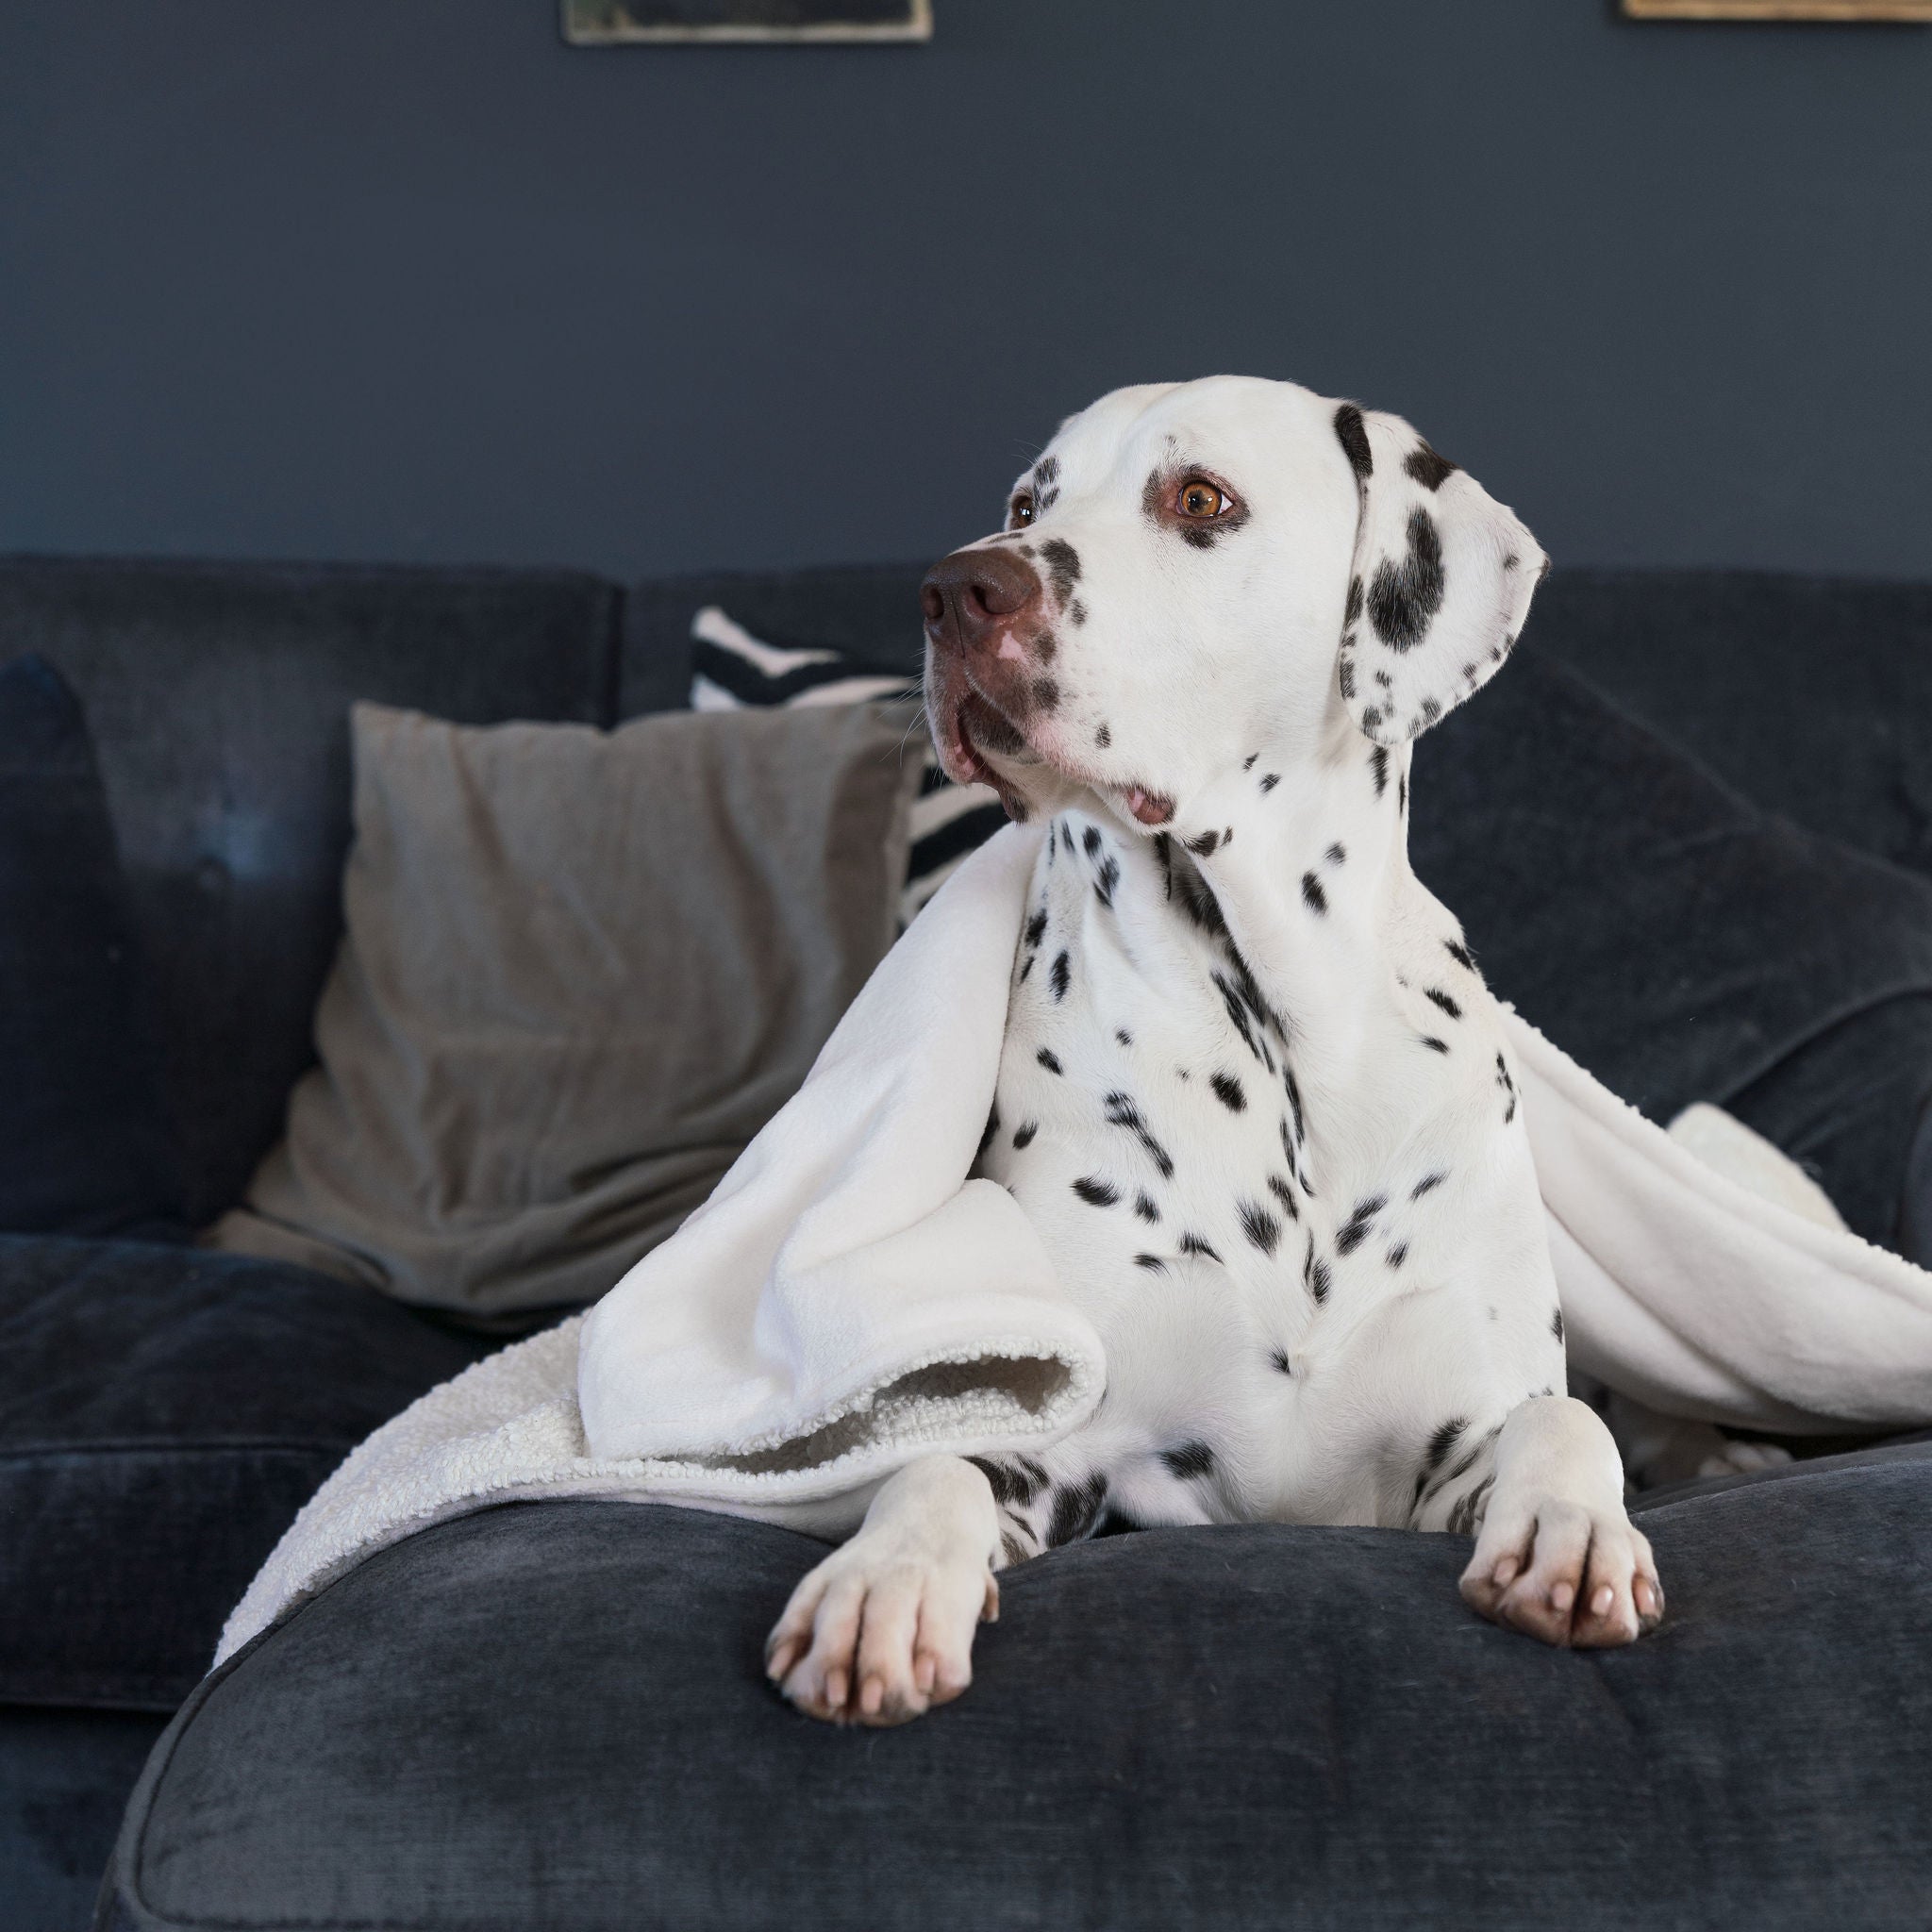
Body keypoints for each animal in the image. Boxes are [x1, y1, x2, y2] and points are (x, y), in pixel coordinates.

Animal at [760, 373, 1669, 1723]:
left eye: (1199, 500)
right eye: (1025, 503)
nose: (956, 589)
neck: (1283, 1044)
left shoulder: (1457, 1432)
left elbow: (1561, 1426)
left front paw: (1574, 1533)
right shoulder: (1067, 1451)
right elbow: (942, 1470)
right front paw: (884, 1582)